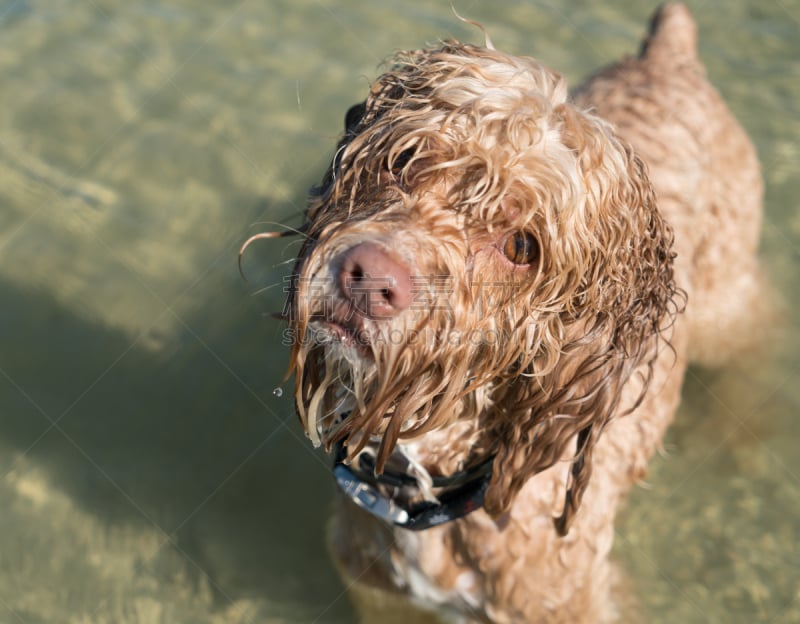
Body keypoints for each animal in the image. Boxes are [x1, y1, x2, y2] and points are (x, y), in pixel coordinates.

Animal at [253, 2, 764, 620]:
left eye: (522, 246)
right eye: (403, 159)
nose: (369, 276)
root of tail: (668, 54)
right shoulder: (378, 593)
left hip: (727, 306)